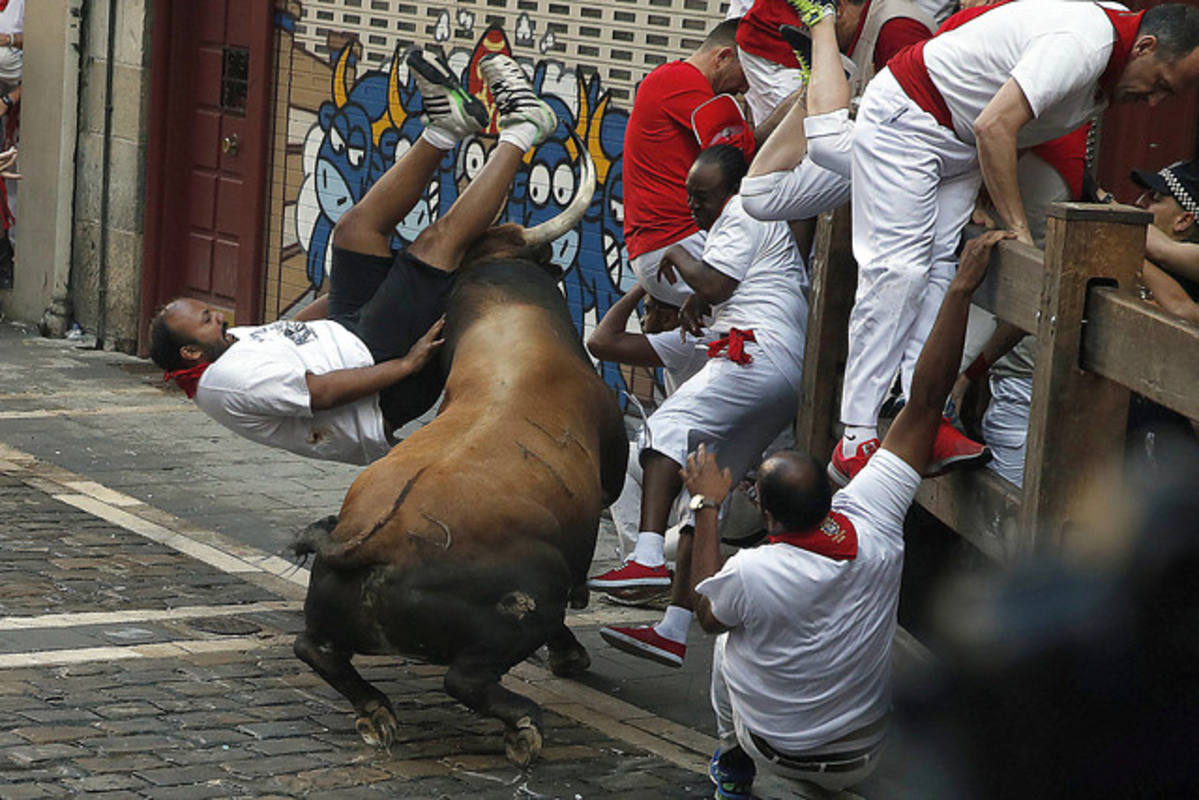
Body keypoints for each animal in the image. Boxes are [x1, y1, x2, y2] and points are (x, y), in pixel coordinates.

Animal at [292, 146, 628, 767]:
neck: (508, 326)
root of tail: (371, 542)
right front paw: (571, 655)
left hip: (327, 616)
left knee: (314, 648)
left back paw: (375, 711)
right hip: (529, 601)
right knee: (467, 679)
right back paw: (523, 724)